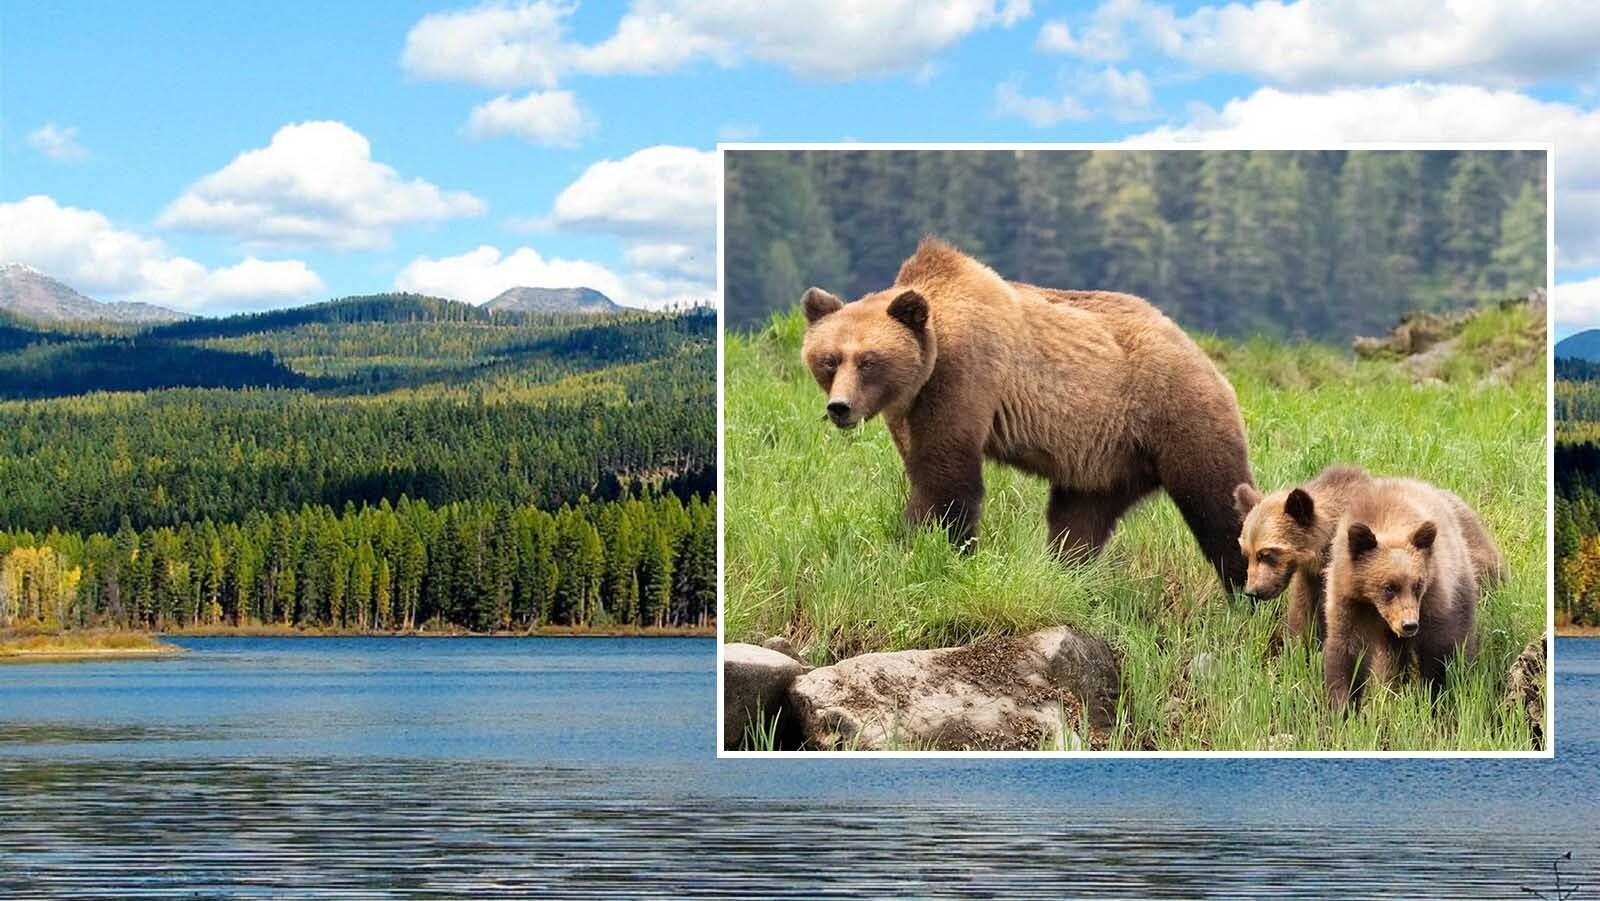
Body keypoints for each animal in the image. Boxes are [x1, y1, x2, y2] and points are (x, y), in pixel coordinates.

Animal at [799, 237, 1255, 593]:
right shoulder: (910, 409)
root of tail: (1202, 355)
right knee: (1079, 519)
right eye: (829, 359)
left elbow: (947, 477)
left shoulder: (965, 378)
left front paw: (933, 547)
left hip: (1175, 414)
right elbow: (923, 468)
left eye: (869, 361)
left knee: (1218, 503)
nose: (840, 407)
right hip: (1105, 458)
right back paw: (1065, 573)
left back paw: (1246, 592)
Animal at [1322, 477, 1506, 712]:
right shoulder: (1350, 600)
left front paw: (1434, 697)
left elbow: (1438, 650)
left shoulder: (1433, 600)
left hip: (1463, 581)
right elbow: (1348, 650)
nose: (1409, 625)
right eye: (1389, 587)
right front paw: (1342, 706)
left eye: (1418, 584)